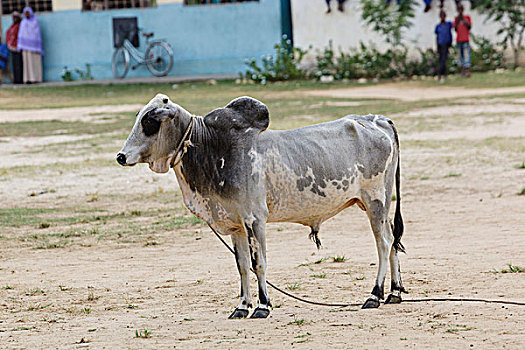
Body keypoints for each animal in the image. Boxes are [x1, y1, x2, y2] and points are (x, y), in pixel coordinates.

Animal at [117, 94, 406, 318]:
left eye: (150, 122)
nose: (120, 156)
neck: (212, 149)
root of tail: (377, 119)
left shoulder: (254, 219)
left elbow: (259, 264)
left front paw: (263, 305)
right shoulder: (236, 225)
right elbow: (243, 266)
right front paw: (242, 306)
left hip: (375, 201)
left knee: (383, 243)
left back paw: (375, 294)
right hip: (379, 205)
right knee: (392, 239)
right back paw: (394, 292)